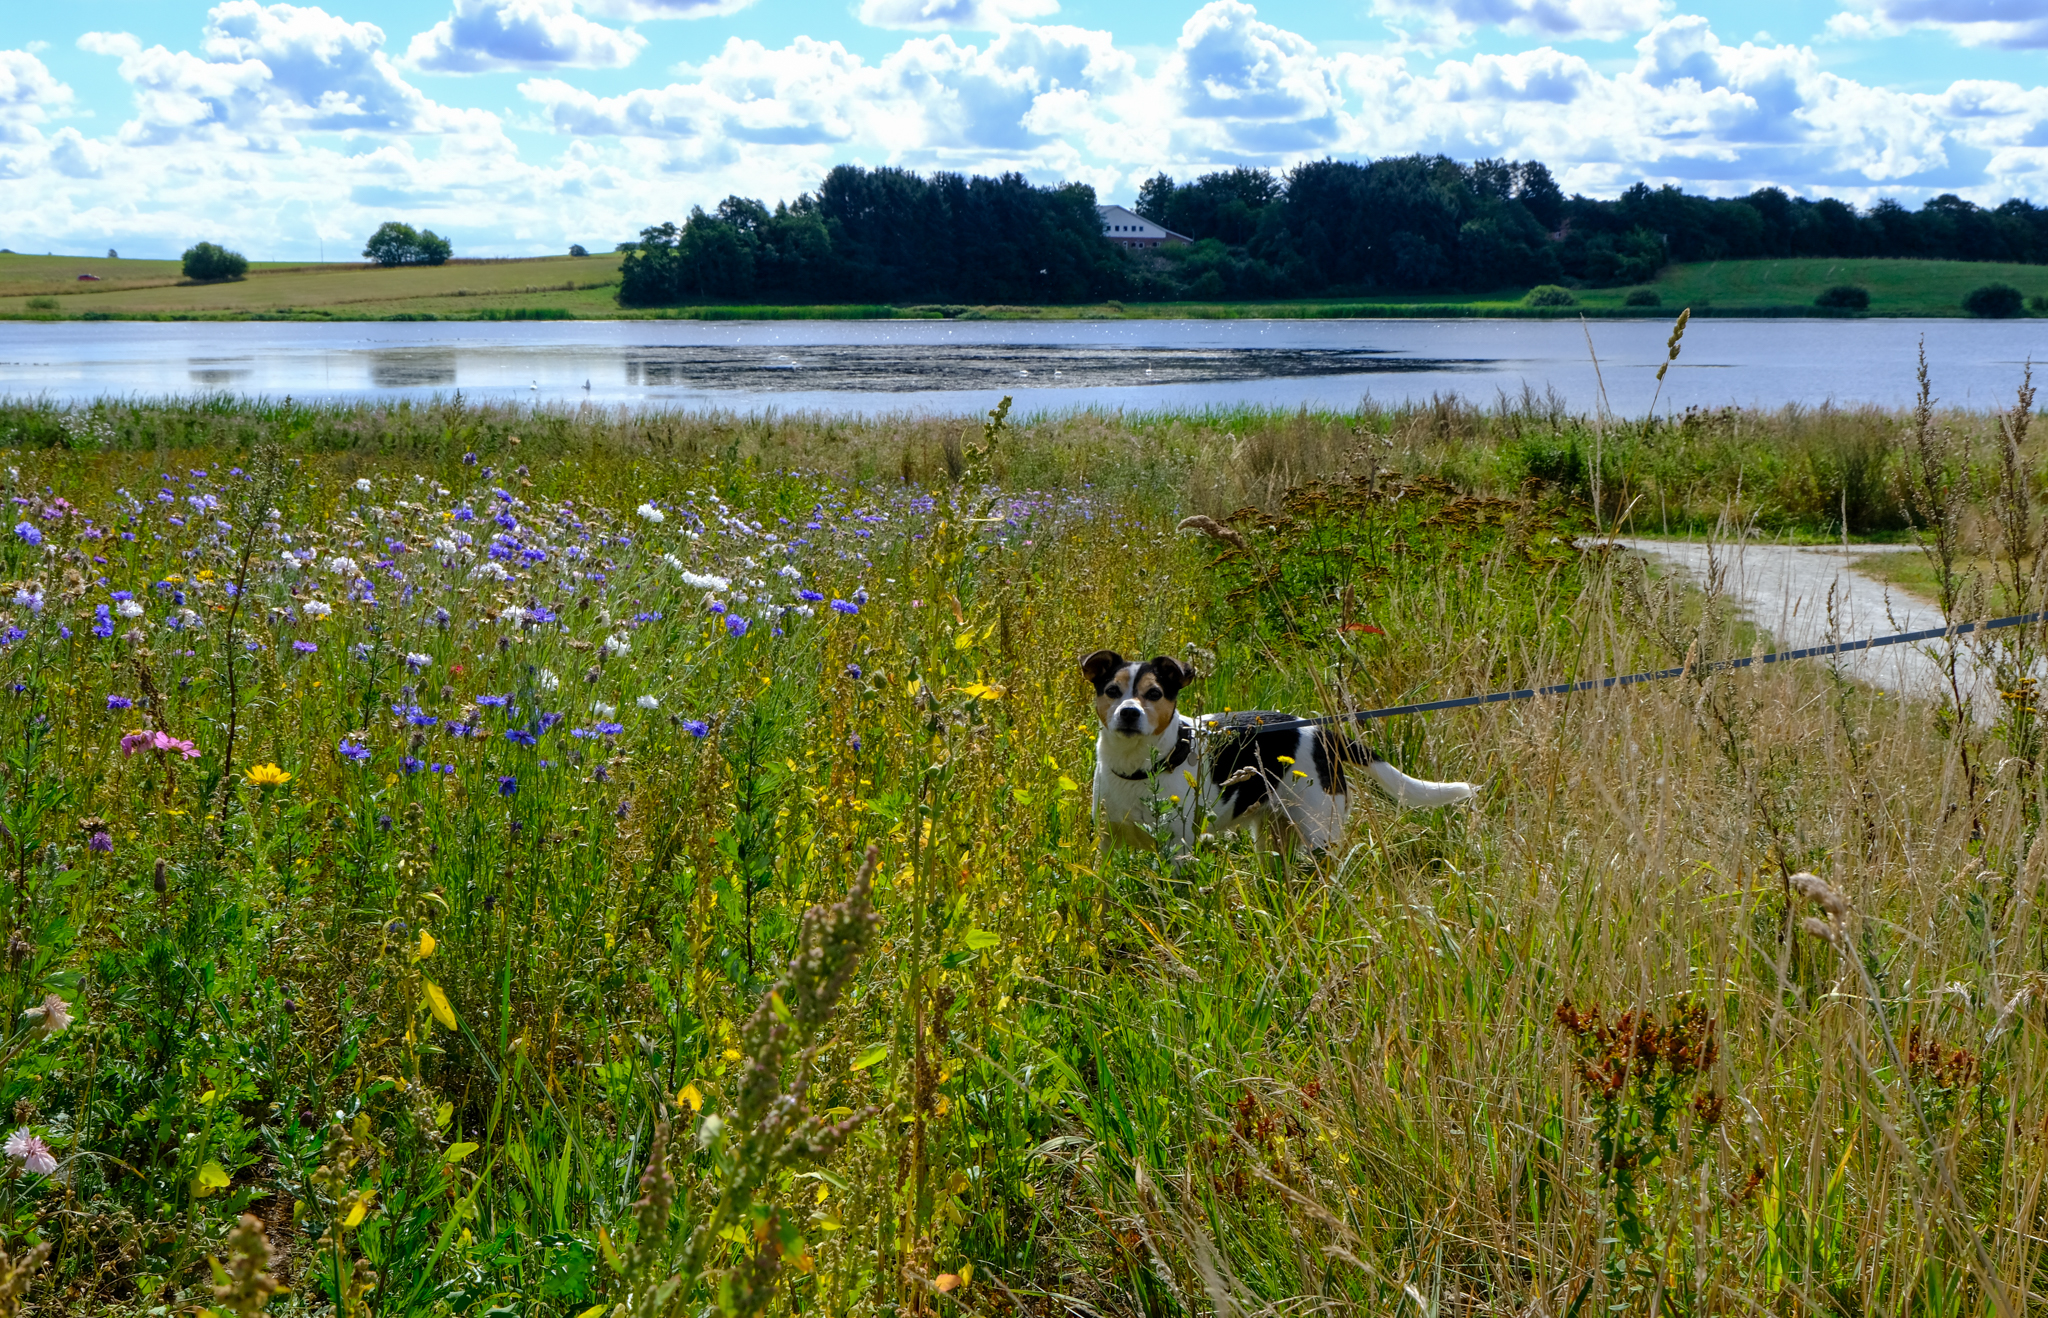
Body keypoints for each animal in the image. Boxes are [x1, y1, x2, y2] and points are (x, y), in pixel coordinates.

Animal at [1089, 646, 1474, 855]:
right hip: (1273, 836)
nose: (1129, 712)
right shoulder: (1106, 842)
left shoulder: (1177, 850)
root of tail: (1324, 732)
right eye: (1112, 691)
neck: (1137, 768)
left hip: (1320, 832)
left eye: (1154, 694)